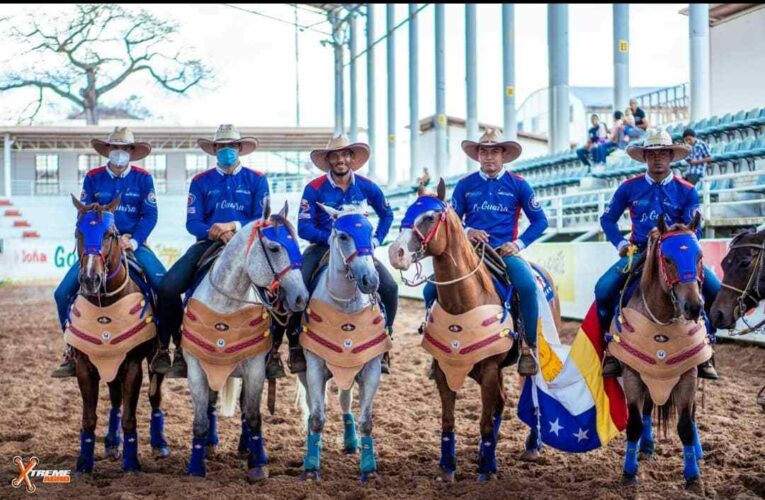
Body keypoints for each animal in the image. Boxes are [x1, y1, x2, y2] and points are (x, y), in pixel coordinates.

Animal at [67, 194, 169, 472]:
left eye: (110, 233)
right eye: (78, 232)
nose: (90, 278)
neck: (105, 305)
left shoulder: (133, 364)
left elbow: (130, 418)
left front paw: (131, 463)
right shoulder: (85, 366)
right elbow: (89, 418)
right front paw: (84, 464)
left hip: (153, 361)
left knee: (155, 396)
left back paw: (159, 444)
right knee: (115, 399)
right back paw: (112, 443)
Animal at [181, 201, 308, 482]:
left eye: (297, 244)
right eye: (274, 247)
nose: (301, 298)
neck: (225, 307)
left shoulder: (254, 369)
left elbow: (252, 416)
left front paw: (258, 464)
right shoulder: (197, 369)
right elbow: (199, 420)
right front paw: (195, 467)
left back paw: (245, 446)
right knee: (211, 404)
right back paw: (210, 446)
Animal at [296, 201, 390, 482]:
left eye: (370, 231)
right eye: (344, 236)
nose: (370, 280)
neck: (345, 307)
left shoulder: (370, 368)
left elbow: (366, 420)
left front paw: (368, 468)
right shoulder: (314, 368)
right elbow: (317, 417)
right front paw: (311, 467)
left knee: (345, 401)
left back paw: (350, 443)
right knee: (315, 409)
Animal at [388, 179, 560, 480]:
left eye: (429, 217)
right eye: (406, 212)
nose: (395, 253)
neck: (465, 301)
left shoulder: (490, 368)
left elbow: (484, 421)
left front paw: (488, 470)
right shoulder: (445, 369)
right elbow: (449, 419)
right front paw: (448, 467)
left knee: (531, 398)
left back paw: (531, 447)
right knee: (501, 402)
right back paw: (483, 453)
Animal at [608, 214, 712, 492]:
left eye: (700, 256)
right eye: (667, 259)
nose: (694, 306)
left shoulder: (688, 376)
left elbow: (685, 426)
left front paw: (693, 477)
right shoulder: (633, 375)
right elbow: (634, 423)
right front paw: (629, 473)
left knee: (692, 417)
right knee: (646, 412)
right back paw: (646, 447)